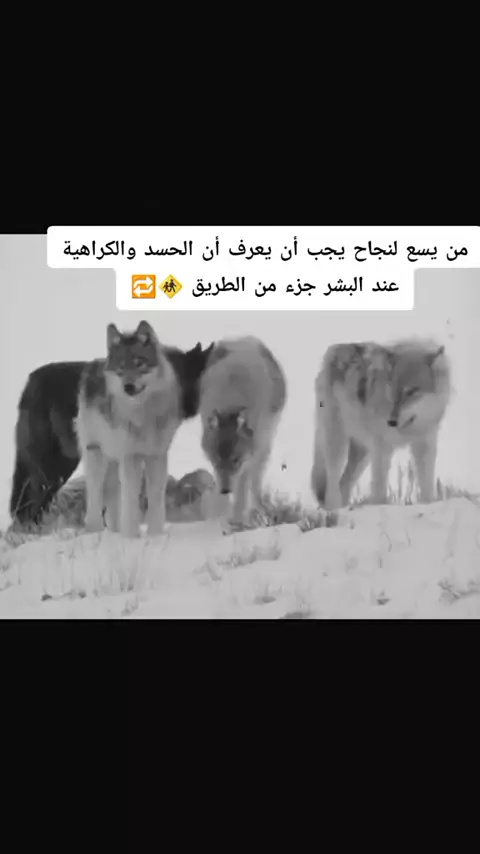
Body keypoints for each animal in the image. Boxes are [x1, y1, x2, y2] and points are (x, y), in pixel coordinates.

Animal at [76, 320, 213, 538]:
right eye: (121, 367)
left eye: (139, 363)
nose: (128, 387)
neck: (145, 414)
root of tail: (93, 365)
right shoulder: (131, 456)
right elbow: (132, 497)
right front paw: (132, 537)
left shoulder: (156, 455)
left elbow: (155, 496)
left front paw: (155, 535)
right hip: (96, 454)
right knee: (96, 493)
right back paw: (95, 531)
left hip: (114, 460)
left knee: (112, 494)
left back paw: (115, 531)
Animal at [199, 336, 287, 526]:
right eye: (218, 461)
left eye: (235, 460)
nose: (226, 490)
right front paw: (215, 517)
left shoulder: (247, 461)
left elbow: (242, 489)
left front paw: (237, 520)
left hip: (264, 448)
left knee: (255, 483)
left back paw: (259, 510)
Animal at [311, 338, 451, 511]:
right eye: (393, 389)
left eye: (412, 391)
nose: (391, 421)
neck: (412, 429)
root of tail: (334, 349)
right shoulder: (382, 448)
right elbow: (379, 491)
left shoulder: (425, 446)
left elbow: (427, 489)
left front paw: (428, 506)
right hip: (338, 443)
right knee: (332, 480)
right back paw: (334, 509)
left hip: (363, 454)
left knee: (344, 484)